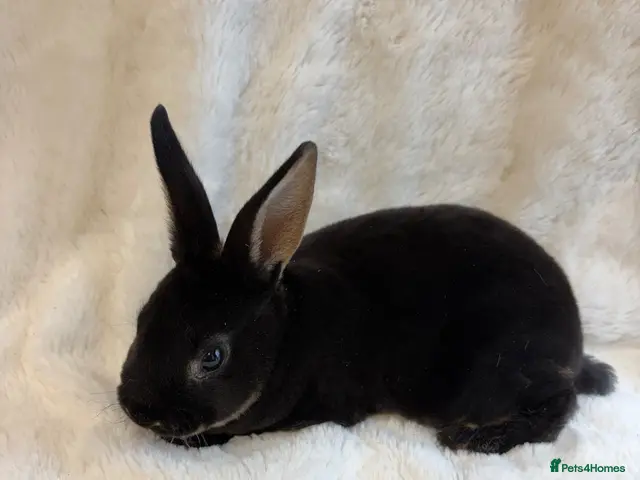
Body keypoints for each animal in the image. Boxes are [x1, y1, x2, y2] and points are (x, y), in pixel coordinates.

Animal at [116, 104, 617, 454]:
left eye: (213, 356)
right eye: (142, 319)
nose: (136, 408)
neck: (286, 338)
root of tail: (574, 343)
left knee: (560, 403)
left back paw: (475, 440)